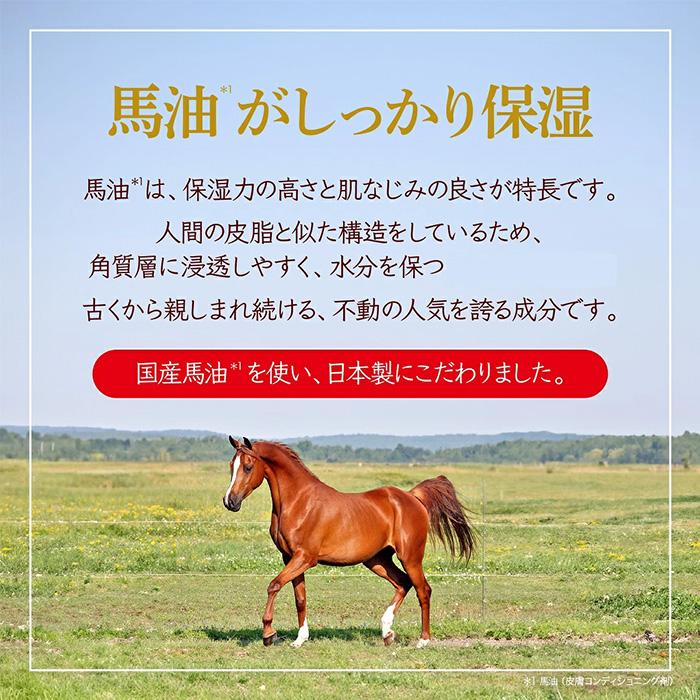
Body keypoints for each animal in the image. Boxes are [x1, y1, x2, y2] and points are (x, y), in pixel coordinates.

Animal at [223, 436, 476, 648]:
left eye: (248, 467)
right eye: (231, 466)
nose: (230, 502)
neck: (299, 502)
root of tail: (412, 497)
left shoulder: (305, 557)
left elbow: (274, 585)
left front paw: (268, 634)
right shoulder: (290, 558)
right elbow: (300, 599)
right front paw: (299, 640)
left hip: (410, 557)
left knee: (423, 589)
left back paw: (423, 640)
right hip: (377, 560)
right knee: (403, 583)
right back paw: (387, 633)